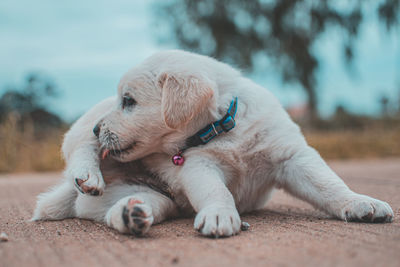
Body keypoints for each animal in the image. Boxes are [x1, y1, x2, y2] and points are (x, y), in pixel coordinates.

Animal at [32, 50, 394, 239]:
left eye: (129, 101)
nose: (99, 129)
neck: (224, 125)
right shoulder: (199, 165)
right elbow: (216, 191)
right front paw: (220, 215)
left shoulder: (291, 155)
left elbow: (327, 183)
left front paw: (359, 203)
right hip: (86, 127)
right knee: (80, 148)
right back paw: (89, 175)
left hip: (150, 198)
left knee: (116, 211)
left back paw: (132, 214)